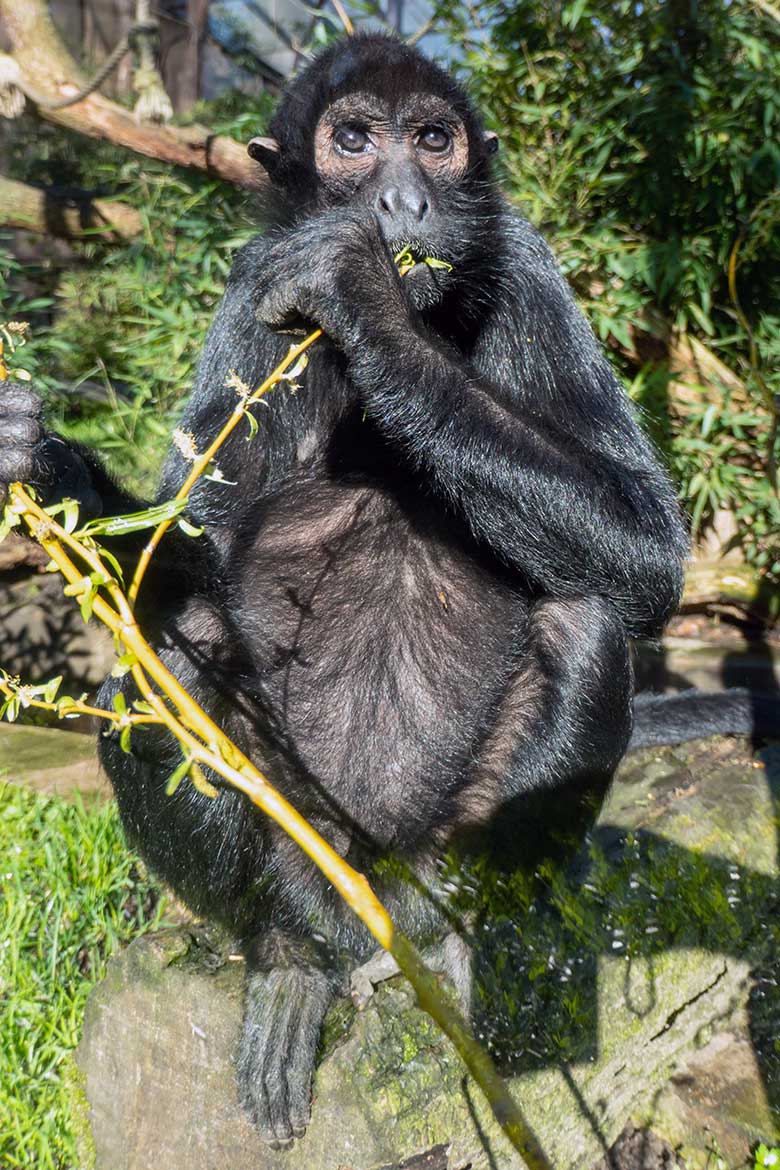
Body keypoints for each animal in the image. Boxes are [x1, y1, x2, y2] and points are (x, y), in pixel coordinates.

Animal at [0, 27, 767, 1151]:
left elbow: (650, 555)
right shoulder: (255, 285)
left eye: (434, 141)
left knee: (585, 616)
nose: (403, 200)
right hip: (302, 840)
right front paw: (38, 461)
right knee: (163, 667)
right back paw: (287, 959)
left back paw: (464, 930)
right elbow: (185, 555)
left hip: (431, 840)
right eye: (355, 141)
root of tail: (371, 894)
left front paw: (369, 304)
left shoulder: (521, 258)